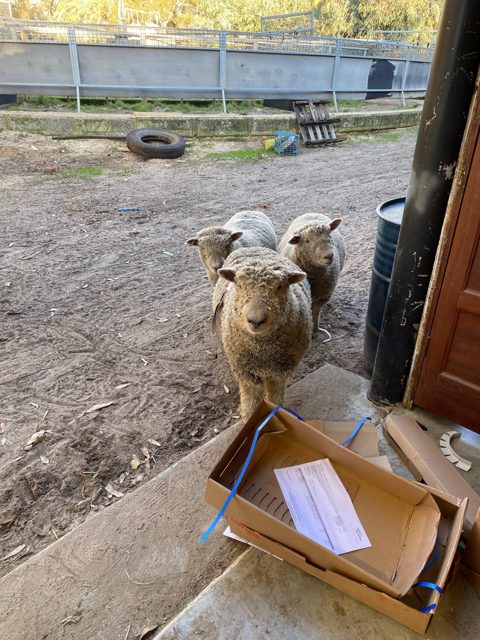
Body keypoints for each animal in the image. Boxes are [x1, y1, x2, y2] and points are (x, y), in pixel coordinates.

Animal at [213, 246, 312, 419]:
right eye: (239, 285)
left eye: (280, 286)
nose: (255, 320)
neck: (263, 350)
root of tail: (253, 247)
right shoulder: (246, 373)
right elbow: (251, 401)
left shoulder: (280, 371)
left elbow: (275, 397)